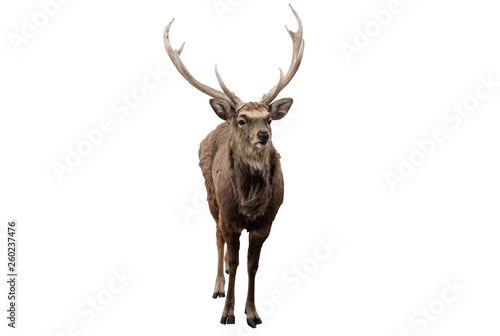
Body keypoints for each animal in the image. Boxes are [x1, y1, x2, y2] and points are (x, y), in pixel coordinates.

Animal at [164, 3, 304, 328]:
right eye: (242, 120)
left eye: (269, 118)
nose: (263, 135)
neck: (250, 205)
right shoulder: (229, 216)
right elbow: (234, 260)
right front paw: (227, 312)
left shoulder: (266, 223)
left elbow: (252, 266)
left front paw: (252, 313)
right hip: (210, 194)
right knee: (217, 237)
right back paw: (218, 284)